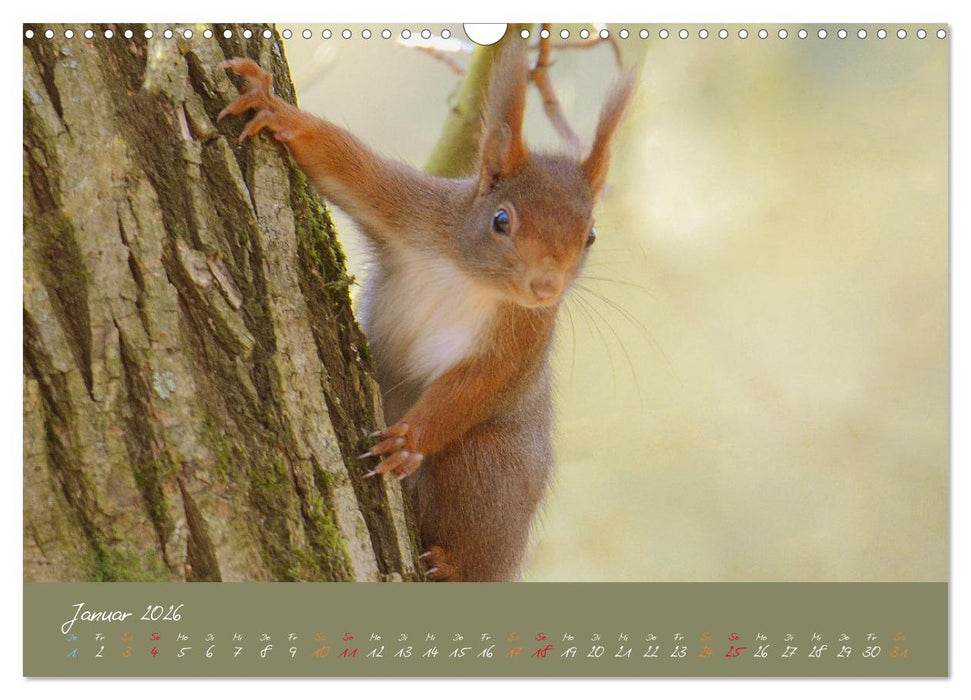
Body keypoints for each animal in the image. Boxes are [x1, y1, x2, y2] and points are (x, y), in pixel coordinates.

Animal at [219, 39, 634, 581]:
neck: (470, 277)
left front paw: (408, 440)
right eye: (502, 220)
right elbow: (349, 170)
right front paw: (275, 109)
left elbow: (481, 383)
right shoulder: (416, 211)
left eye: (590, 236)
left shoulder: (526, 334)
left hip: (488, 466)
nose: (546, 286)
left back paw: (453, 565)